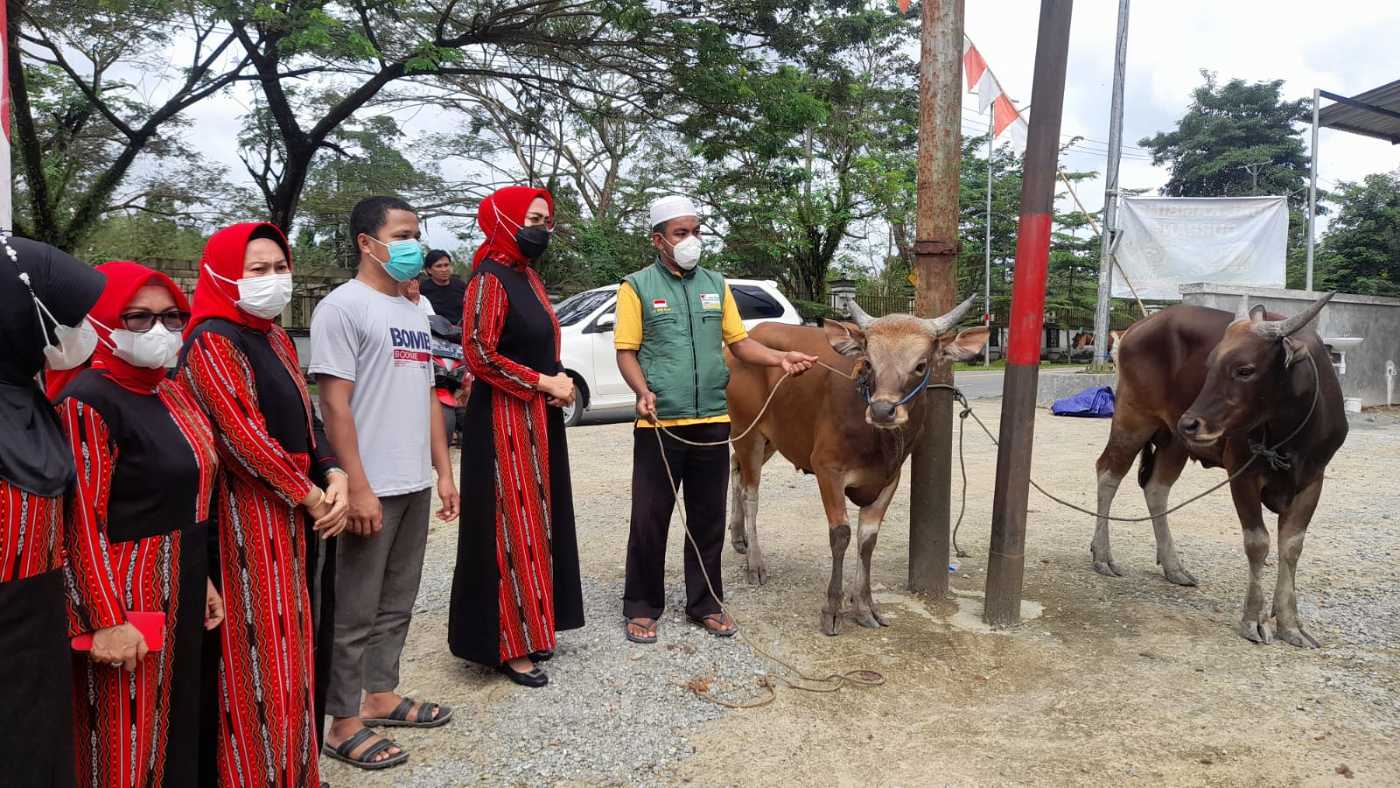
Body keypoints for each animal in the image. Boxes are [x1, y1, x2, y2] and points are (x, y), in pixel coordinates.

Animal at [728, 296, 991, 635]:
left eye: (921, 365)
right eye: (870, 362)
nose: (882, 410)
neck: (879, 442)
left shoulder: (890, 478)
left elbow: (868, 540)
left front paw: (864, 606)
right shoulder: (827, 469)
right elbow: (841, 535)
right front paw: (832, 609)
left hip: (770, 439)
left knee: (735, 469)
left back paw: (738, 537)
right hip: (748, 432)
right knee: (751, 494)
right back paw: (756, 563)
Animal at [1092, 293, 1344, 646]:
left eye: (1244, 369)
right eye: (1209, 366)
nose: (1191, 422)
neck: (1289, 433)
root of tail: (1137, 328)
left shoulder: (1313, 480)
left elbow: (1292, 546)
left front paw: (1290, 624)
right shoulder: (1242, 473)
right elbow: (1258, 543)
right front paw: (1253, 619)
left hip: (1174, 441)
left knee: (1156, 488)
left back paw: (1173, 565)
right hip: (1134, 419)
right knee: (1108, 474)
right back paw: (1102, 555)